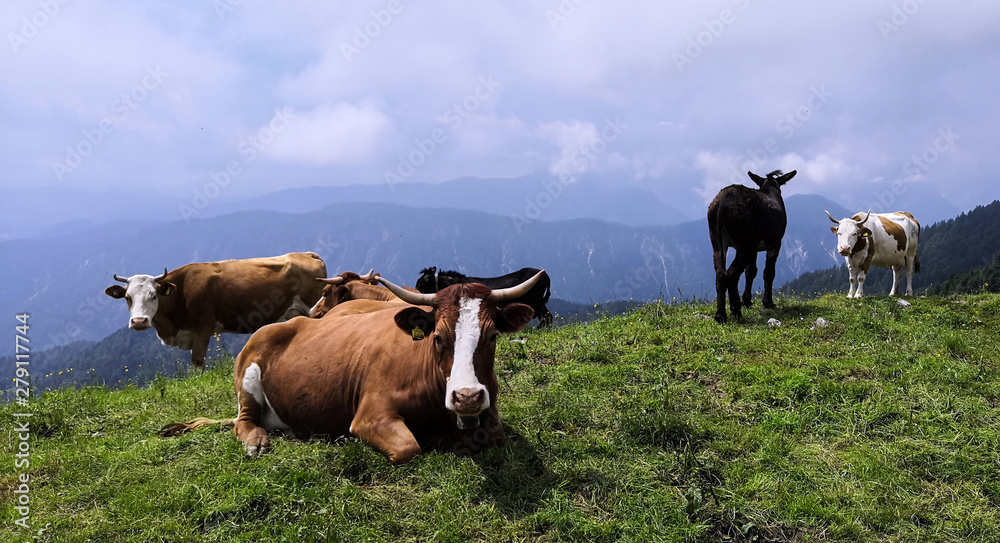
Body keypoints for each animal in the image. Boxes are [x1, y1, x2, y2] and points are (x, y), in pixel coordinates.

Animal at [105, 252, 327, 366]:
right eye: (127, 298)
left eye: (153, 295)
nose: (139, 321)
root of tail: (307, 254)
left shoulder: (202, 329)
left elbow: (197, 361)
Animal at [159, 271, 545, 465]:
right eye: (438, 337)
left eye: (492, 336)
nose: (466, 397)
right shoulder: (370, 415)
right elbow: (410, 448)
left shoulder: (491, 419)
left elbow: (494, 436)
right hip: (248, 380)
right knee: (244, 421)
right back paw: (257, 442)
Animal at [415, 267, 552, 327]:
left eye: (421, 283)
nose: (416, 289)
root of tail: (545, 274)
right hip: (539, 302)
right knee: (547, 316)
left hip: (536, 301)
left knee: (545, 317)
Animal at [707, 170, 797, 323]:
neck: (770, 188)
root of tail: (721, 204)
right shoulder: (775, 243)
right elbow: (769, 272)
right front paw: (768, 302)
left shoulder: (755, 248)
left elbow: (751, 272)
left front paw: (747, 301)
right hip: (745, 244)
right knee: (731, 275)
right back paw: (735, 311)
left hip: (718, 242)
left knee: (720, 274)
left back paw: (720, 315)